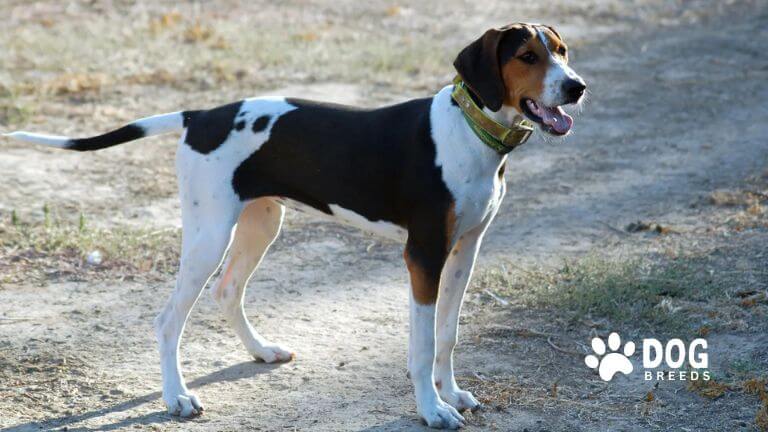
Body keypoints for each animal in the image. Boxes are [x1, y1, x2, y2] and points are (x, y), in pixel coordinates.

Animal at [4, 22, 584, 426]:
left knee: (228, 291)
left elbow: (447, 334)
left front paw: (453, 392)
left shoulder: (464, 251)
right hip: (209, 235)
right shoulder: (422, 257)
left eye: (562, 51)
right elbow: (420, 347)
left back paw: (260, 350)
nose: (577, 87)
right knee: (168, 320)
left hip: (261, 223)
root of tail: (201, 116)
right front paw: (432, 409)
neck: (469, 128)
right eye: (527, 57)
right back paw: (177, 398)